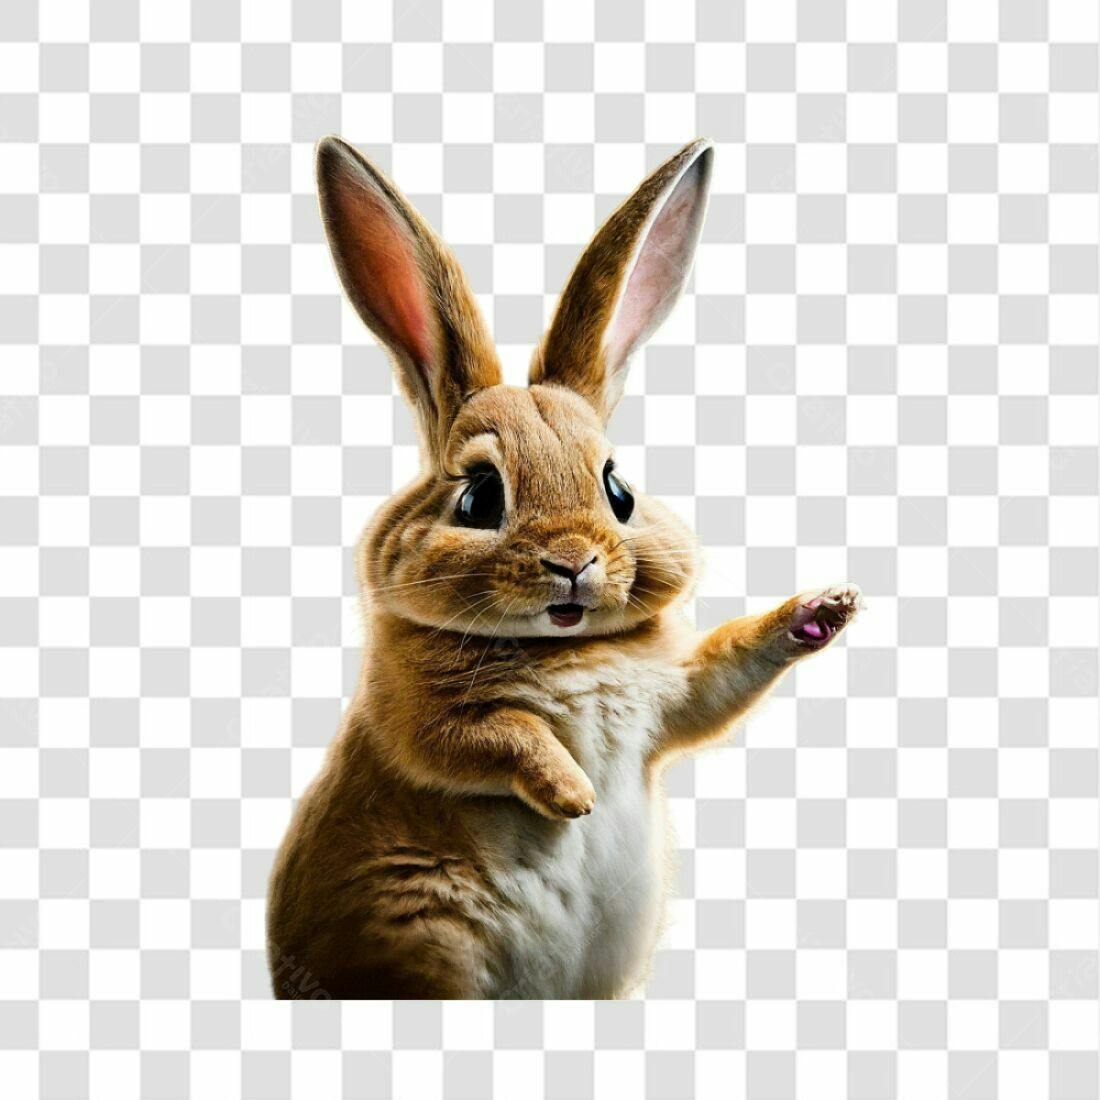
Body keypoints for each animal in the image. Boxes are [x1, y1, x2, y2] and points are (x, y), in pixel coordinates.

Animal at [266, 135, 863, 1000]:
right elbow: (502, 734)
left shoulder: (668, 699)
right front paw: (574, 794)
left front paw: (824, 610)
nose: (574, 562)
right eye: (479, 497)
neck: (562, 648)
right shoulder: (419, 721)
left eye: (618, 490)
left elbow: (728, 672)